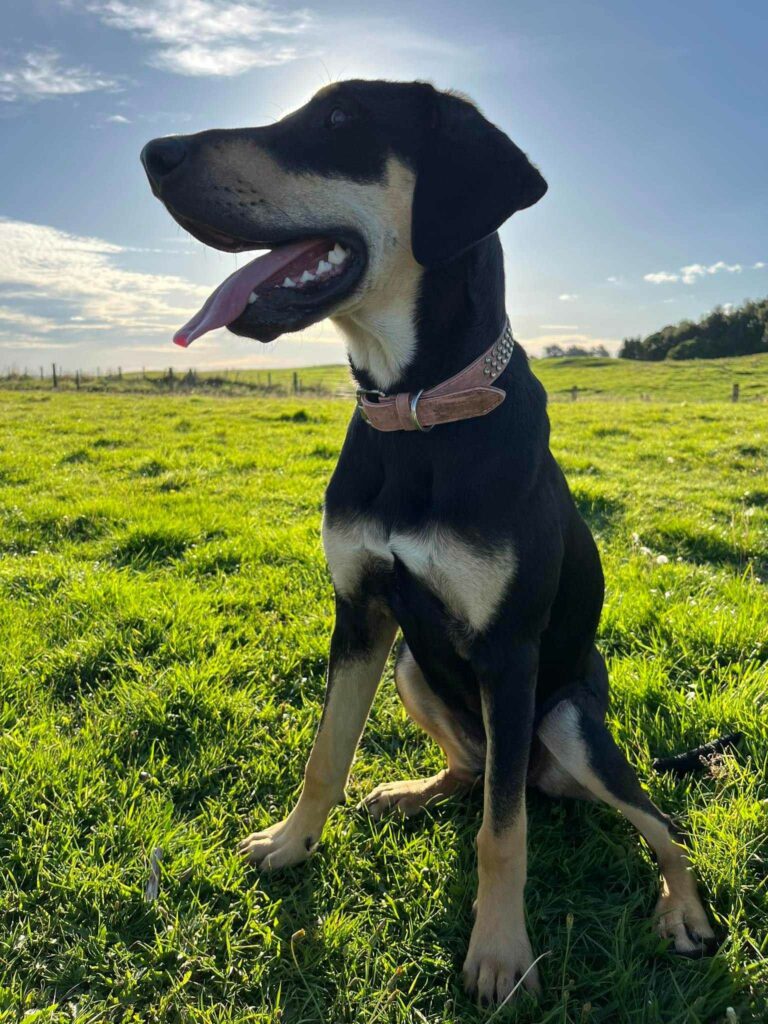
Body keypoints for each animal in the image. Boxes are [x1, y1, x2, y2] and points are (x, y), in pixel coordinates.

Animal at [141, 81, 720, 1007]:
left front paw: (500, 951)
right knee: (477, 775)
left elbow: (502, 836)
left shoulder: (510, 657)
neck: (416, 407)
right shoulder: (360, 613)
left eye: (340, 122)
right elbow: (326, 753)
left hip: (567, 722)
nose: (153, 154)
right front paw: (291, 843)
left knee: (647, 819)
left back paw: (684, 912)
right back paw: (412, 790)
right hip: (416, 667)